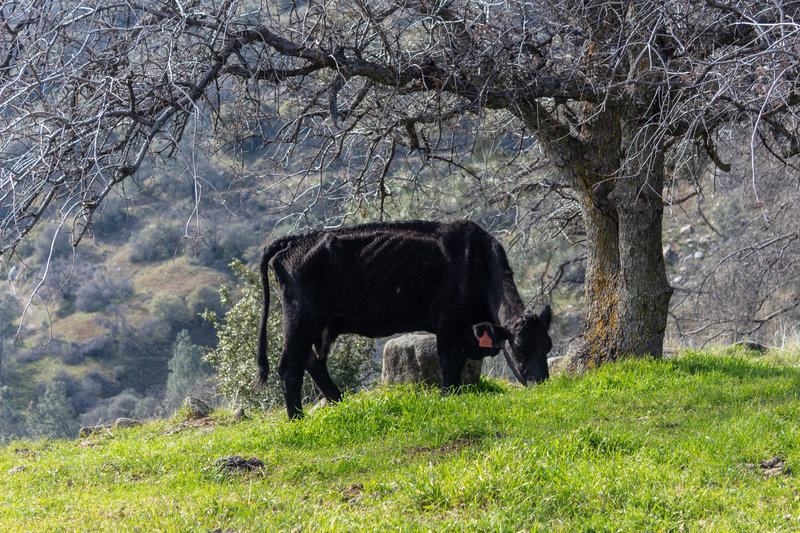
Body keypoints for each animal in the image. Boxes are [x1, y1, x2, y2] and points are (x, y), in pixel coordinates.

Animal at [260, 218, 552, 418]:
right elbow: (449, 362)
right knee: (290, 368)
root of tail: (293, 242)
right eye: (519, 349)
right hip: (301, 318)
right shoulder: (446, 321)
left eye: (547, 346)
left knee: (313, 362)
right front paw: (448, 397)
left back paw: (340, 403)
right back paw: (297, 420)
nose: (541, 385)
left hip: (319, 325)